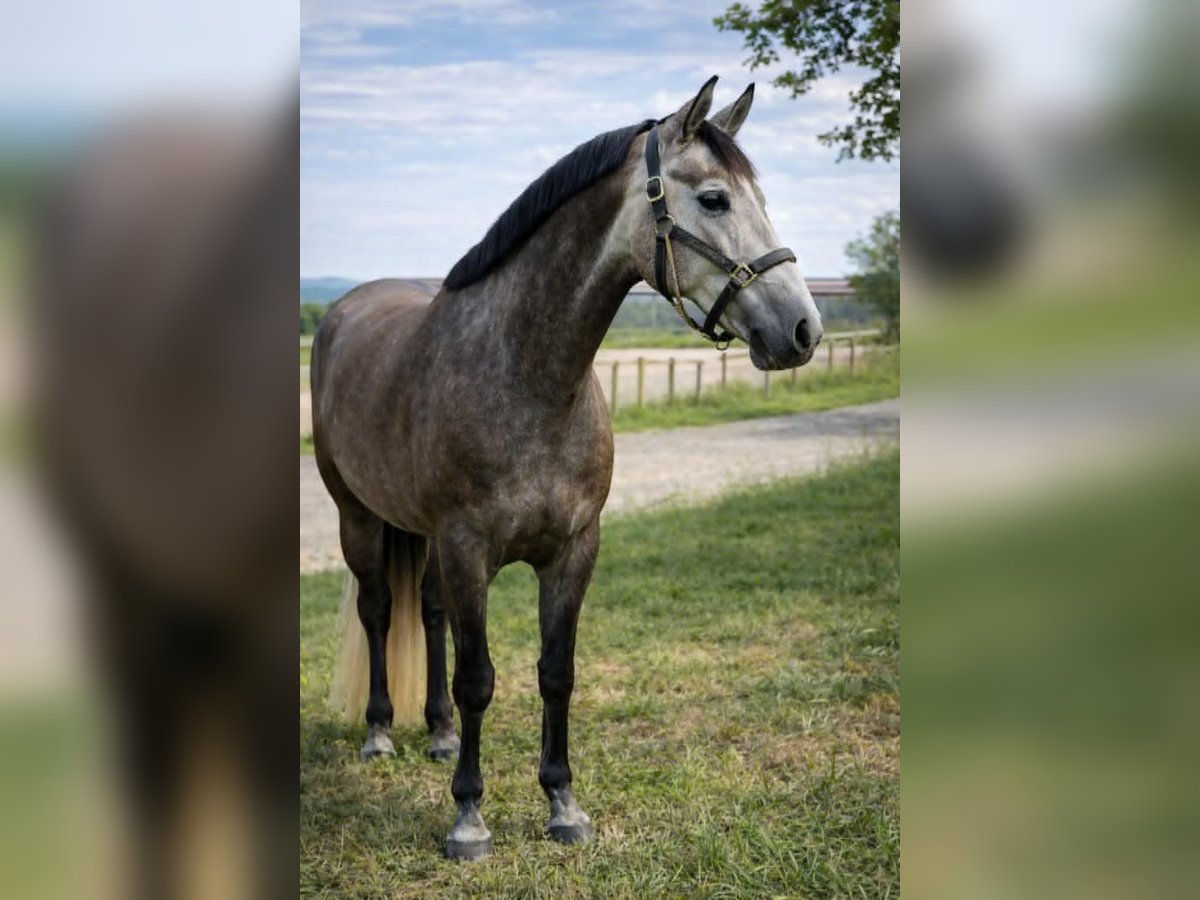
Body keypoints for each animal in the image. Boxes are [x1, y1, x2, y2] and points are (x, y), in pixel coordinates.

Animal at [311, 76, 823, 861]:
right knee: (378, 611)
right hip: (358, 517)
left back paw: (438, 734)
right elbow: (480, 678)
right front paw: (469, 818)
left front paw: (563, 805)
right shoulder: (469, 549)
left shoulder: (574, 549)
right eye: (714, 199)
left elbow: (556, 674)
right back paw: (379, 732)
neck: (527, 376)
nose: (803, 330)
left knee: (427, 614)